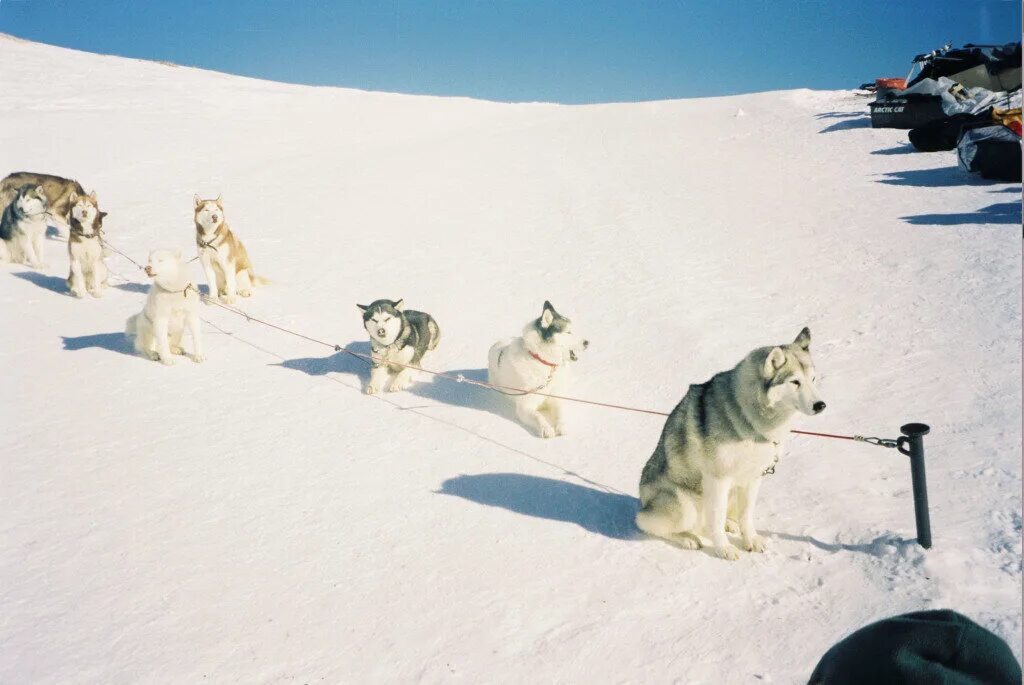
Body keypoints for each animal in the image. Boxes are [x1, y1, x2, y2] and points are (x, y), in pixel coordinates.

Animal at [489, 301, 593, 438]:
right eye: (568, 332)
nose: (587, 342)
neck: (543, 362)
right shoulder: (525, 406)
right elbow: (538, 416)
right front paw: (546, 428)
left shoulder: (556, 399)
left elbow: (560, 412)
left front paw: (562, 426)